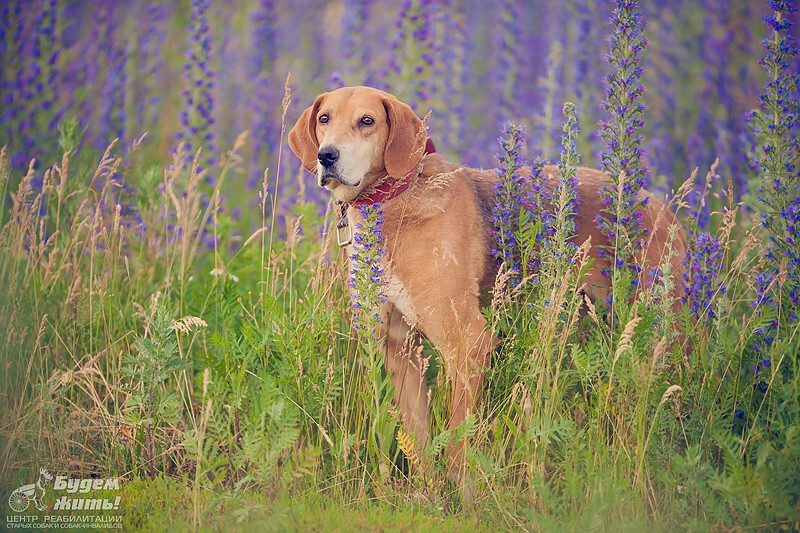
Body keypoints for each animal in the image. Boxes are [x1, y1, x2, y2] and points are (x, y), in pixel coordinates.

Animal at [288, 86, 688, 478]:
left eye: (367, 121)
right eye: (324, 118)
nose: (326, 156)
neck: (395, 202)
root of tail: (664, 210)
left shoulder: (467, 342)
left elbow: (458, 442)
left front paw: (463, 490)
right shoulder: (399, 347)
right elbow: (419, 443)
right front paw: (428, 491)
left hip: (660, 335)